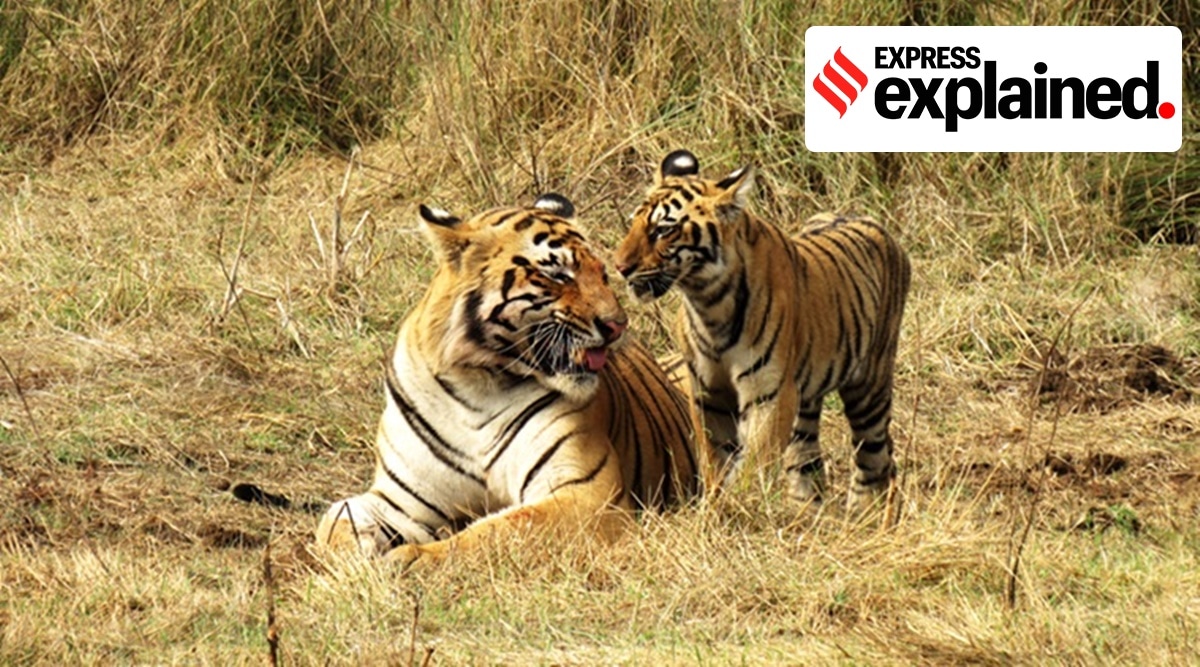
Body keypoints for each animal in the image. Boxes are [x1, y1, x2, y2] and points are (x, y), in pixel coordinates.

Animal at [316, 193, 705, 568]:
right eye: (559, 275)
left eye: (603, 275)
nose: (617, 326)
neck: (476, 384)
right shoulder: (401, 500)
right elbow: (334, 522)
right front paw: (356, 562)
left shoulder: (586, 492)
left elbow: (501, 528)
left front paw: (409, 559)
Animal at [613, 150, 911, 511]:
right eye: (634, 222)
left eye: (663, 230)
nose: (619, 266)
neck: (707, 301)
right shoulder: (708, 395)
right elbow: (715, 461)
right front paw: (716, 508)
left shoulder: (768, 393)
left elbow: (752, 462)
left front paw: (736, 507)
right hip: (807, 399)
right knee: (806, 456)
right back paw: (805, 510)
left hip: (869, 385)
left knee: (876, 458)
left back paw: (864, 513)